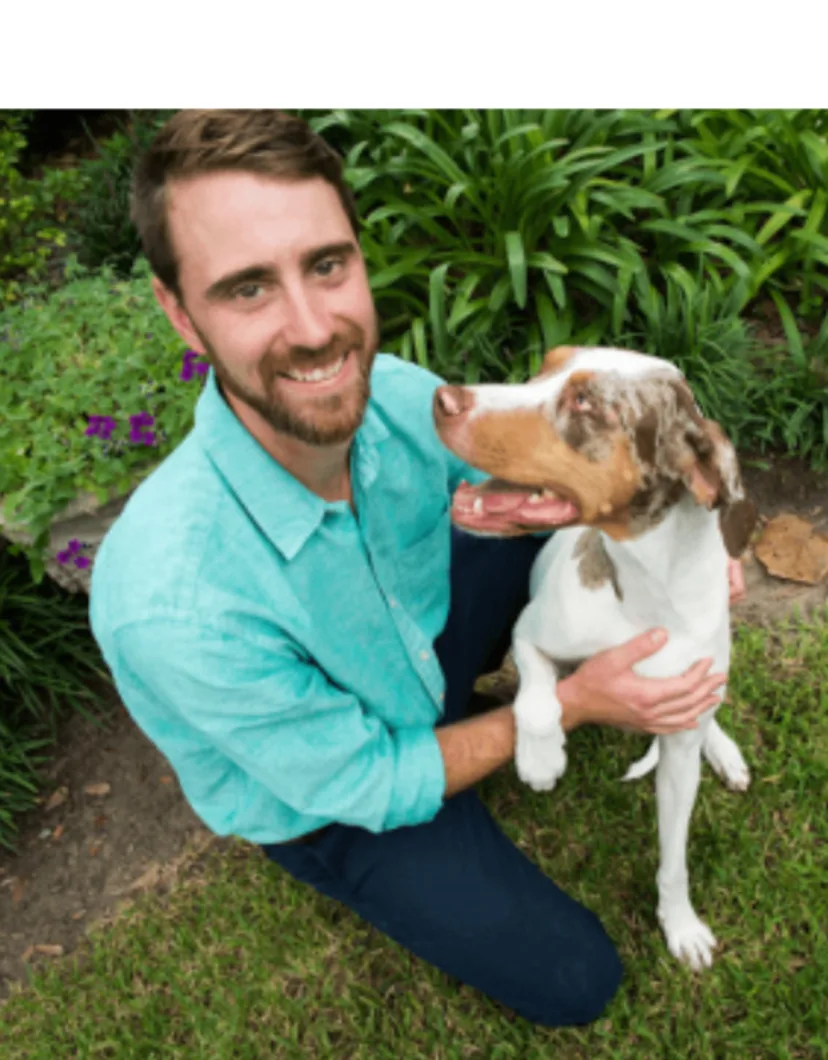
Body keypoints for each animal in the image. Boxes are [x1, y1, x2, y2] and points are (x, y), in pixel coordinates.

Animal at [436, 341, 759, 970]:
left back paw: (725, 751)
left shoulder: (679, 753)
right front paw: (540, 758)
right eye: (543, 366)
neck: (644, 597)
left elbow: (674, 859)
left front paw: (680, 924)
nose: (442, 398)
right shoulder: (528, 635)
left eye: (586, 401)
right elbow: (540, 699)